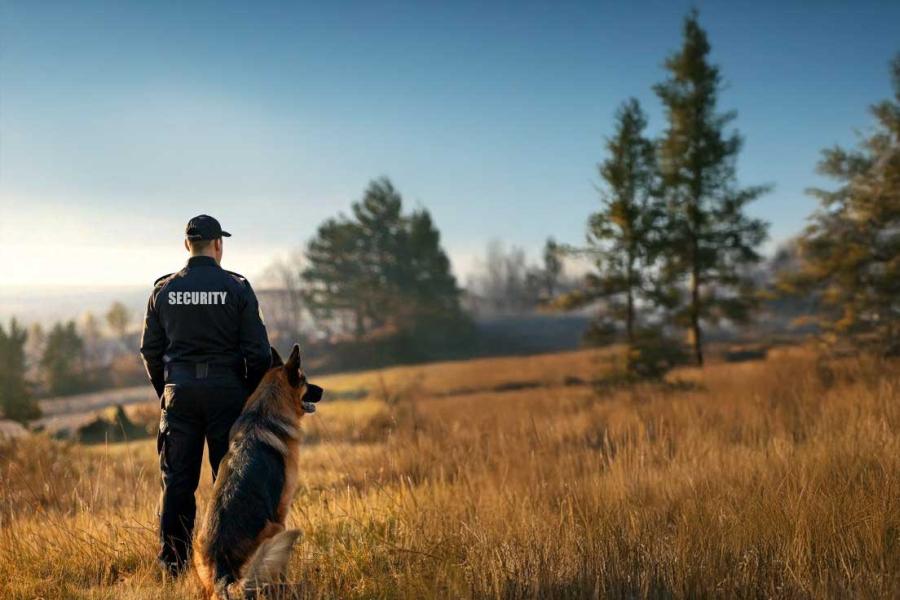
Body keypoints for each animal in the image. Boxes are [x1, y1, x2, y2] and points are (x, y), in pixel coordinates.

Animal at [193, 344, 324, 596]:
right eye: (304, 380)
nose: (322, 390)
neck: (263, 410)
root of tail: (221, 564)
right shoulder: (282, 509)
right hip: (275, 530)